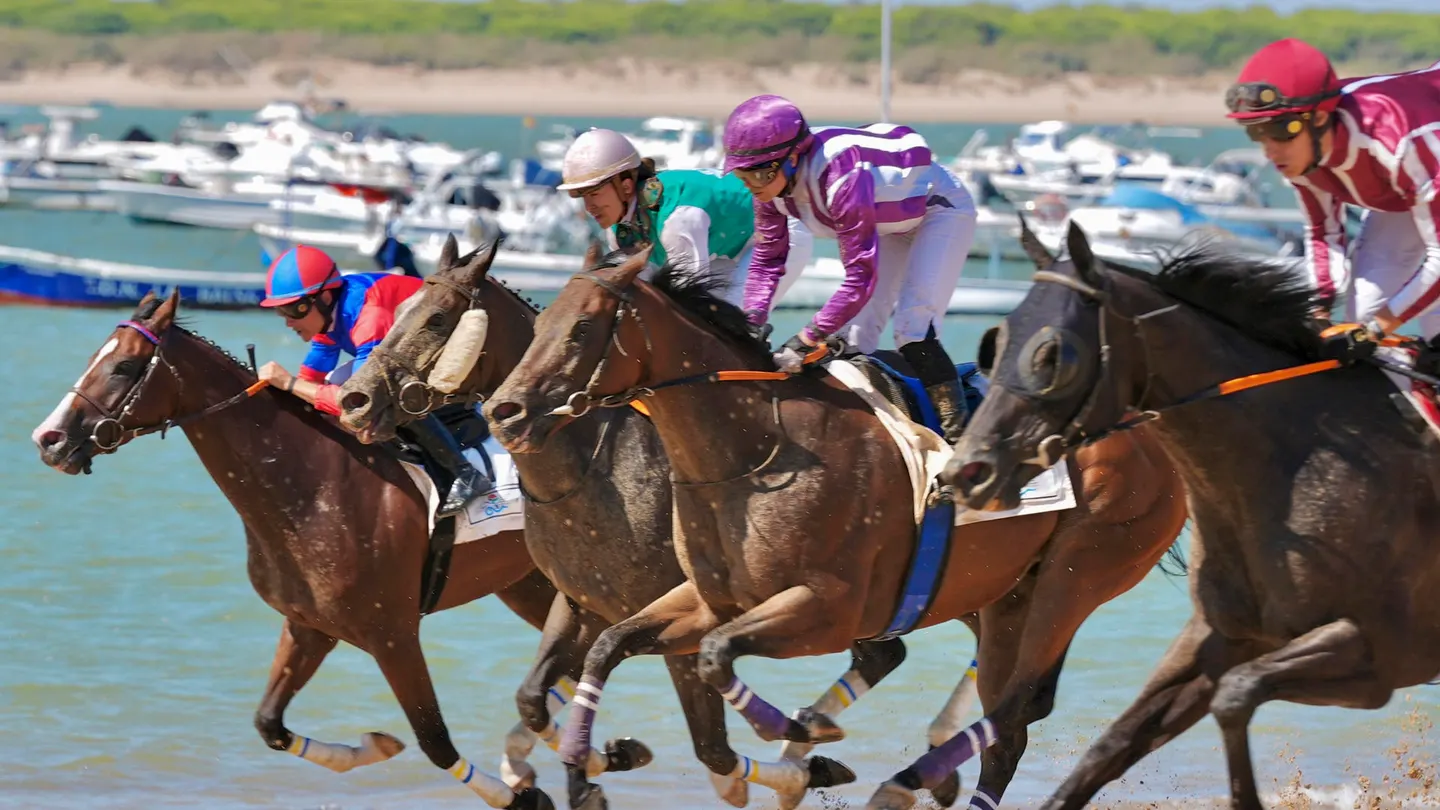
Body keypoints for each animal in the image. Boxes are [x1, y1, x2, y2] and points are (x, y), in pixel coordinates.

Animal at [27, 290, 632, 810]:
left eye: (123, 368)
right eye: (95, 357)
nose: (47, 439)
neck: (311, 486)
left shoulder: (392, 634)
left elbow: (435, 741)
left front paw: (525, 796)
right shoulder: (309, 626)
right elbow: (269, 724)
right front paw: (371, 746)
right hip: (528, 586)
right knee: (572, 662)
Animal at [335, 235, 958, 810]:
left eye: (437, 318)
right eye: (400, 312)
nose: (354, 399)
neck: (594, 469)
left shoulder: (682, 608)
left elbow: (713, 750)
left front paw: (790, 773)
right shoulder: (582, 604)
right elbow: (534, 697)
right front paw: (596, 764)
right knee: (885, 653)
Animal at [481, 246, 1189, 810]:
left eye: (580, 329)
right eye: (541, 320)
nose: (504, 411)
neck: (752, 451)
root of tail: (1145, 428)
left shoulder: (826, 609)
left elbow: (716, 659)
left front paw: (803, 737)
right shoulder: (708, 599)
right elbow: (614, 645)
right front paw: (589, 766)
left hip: (1076, 575)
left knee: (1018, 706)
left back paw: (904, 780)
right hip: (1004, 598)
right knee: (1006, 723)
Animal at [943, 221, 1440, 810]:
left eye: (1054, 356)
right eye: (995, 344)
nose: (967, 470)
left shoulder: (1383, 653)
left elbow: (1235, 694)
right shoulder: (1223, 637)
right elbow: (1112, 745)